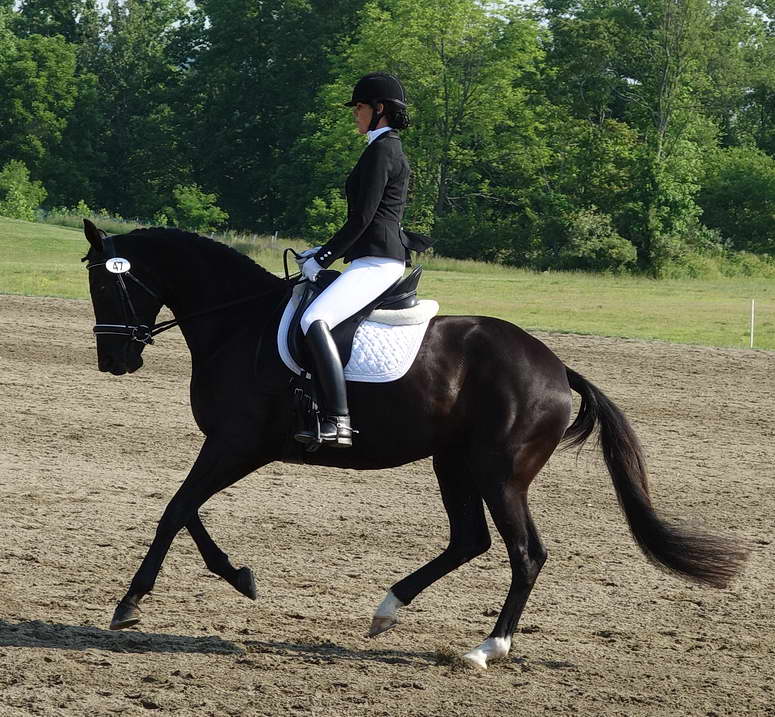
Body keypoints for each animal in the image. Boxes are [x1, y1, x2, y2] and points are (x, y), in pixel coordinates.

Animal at [82, 221, 748, 668]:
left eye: (105, 284)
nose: (113, 360)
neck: (237, 324)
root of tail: (558, 370)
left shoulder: (237, 443)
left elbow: (176, 508)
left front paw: (130, 602)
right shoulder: (234, 445)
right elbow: (186, 509)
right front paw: (240, 576)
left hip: (498, 473)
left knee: (525, 554)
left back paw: (486, 648)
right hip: (453, 463)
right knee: (469, 540)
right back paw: (388, 610)